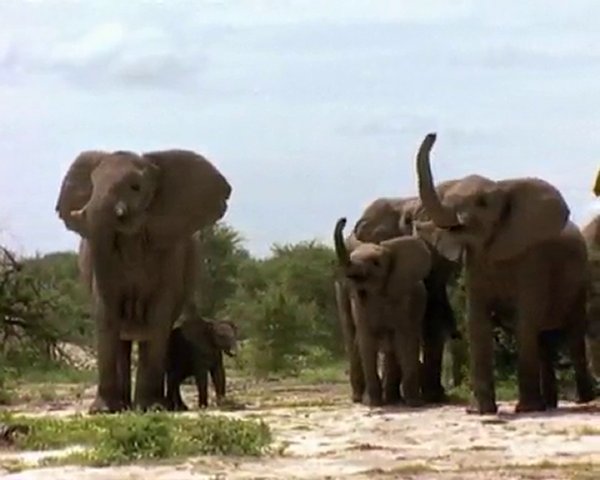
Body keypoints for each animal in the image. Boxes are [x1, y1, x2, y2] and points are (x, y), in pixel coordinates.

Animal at [55, 150, 230, 412]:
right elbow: (106, 313)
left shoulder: (170, 251)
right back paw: (124, 406)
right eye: (92, 185)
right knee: (121, 343)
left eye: (135, 187)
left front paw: (152, 408)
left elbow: (158, 315)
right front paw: (103, 411)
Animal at [332, 219, 432, 406]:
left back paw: (392, 398)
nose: (343, 220)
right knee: (351, 336)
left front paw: (414, 403)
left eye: (376, 263)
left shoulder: (403, 298)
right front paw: (372, 403)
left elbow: (404, 339)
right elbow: (366, 340)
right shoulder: (359, 303)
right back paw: (360, 398)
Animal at [412, 133, 596, 414]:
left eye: (482, 203)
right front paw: (479, 411)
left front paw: (525, 410)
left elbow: (525, 319)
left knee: (572, 334)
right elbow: (477, 321)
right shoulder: (476, 262)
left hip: (578, 283)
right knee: (543, 341)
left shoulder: (532, 259)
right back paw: (549, 404)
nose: (433, 135)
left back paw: (582, 400)